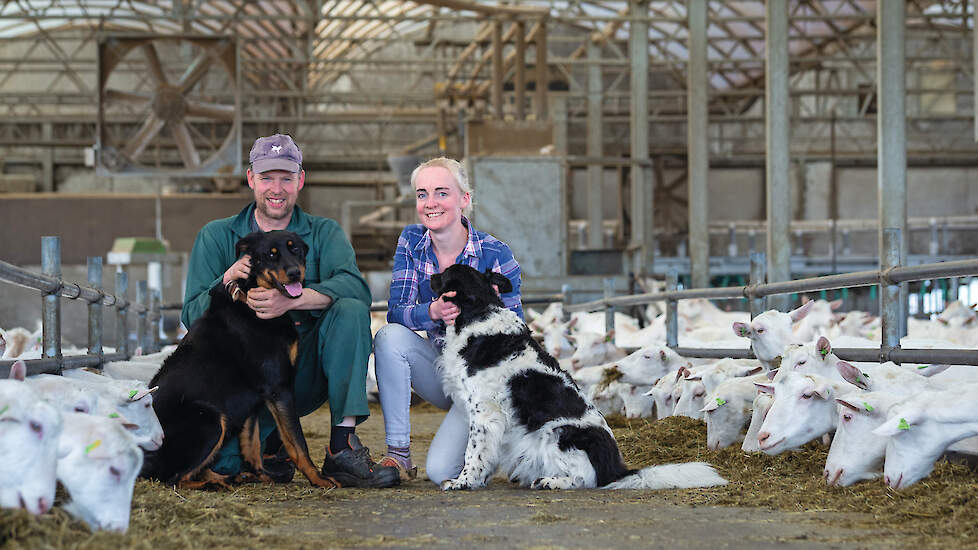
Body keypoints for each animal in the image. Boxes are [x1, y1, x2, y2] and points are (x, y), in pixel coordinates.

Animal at [140, 231, 340, 490]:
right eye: (271, 255)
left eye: (295, 249)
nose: (295, 272)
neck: (252, 306)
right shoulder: (279, 388)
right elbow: (297, 442)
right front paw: (319, 479)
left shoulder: (254, 397)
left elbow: (252, 444)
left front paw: (262, 475)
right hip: (211, 419)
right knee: (174, 478)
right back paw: (215, 485)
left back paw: (232, 477)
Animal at [432, 266, 724, 494]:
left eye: (445, 274)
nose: (432, 276)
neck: (479, 313)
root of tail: (615, 468)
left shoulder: (485, 412)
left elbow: (474, 452)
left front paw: (463, 482)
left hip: (559, 433)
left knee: (584, 478)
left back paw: (550, 481)